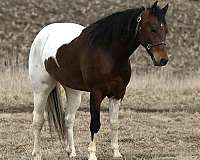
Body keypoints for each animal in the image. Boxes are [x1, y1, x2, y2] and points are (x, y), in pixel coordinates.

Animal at [28, 0, 169, 159]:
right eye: (152, 29)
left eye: (165, 30)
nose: (162, 60)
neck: (109, 52)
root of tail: (44, 33)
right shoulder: (96, 93)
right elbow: (95, 123)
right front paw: (92, 154)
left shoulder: (118, 94)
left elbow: (114, 123)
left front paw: (116, 152)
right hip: (41, 89)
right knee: (38, 121)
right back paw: (37, 153)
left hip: (73, 91)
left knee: (68, 119)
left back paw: (71, 152)